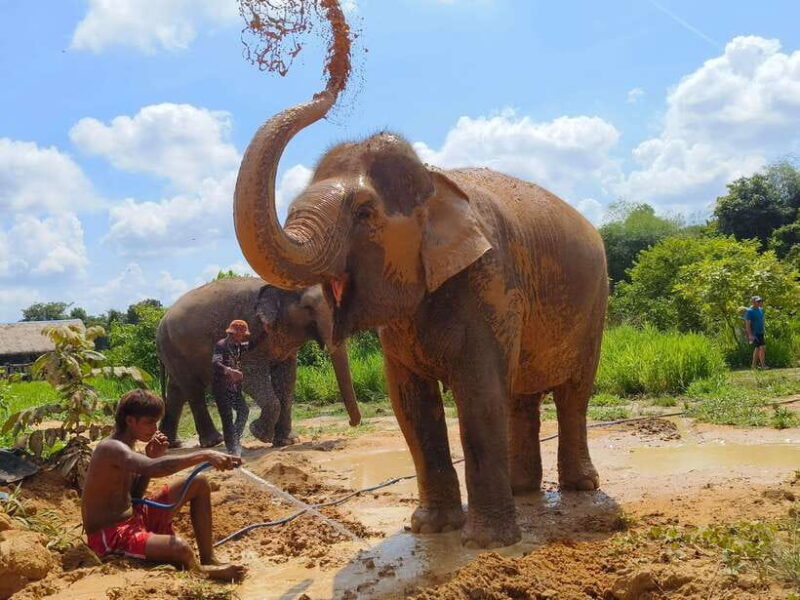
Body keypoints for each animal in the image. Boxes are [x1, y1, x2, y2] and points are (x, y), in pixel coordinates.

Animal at [157, 276, 361, 448]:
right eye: (308, 307)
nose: (351, 423)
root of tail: (161, 320)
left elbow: (287, 378)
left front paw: (287, 441)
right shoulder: (251, 328)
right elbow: (250, 375)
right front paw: (259, 434)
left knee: (177, 390)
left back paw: (170, 443)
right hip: (176, 348)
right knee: (193, 389)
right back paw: (214, 442)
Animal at [232, 91, 608, 549]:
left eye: (364, 213)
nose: (330, 88)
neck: (434, 181)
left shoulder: (491, 278)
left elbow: (480, 394)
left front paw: (487, 544)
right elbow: (410, 404)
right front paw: (431, 528)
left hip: (595, 306)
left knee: (574, 393)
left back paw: (580, 488)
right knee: (522, 396)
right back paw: (523, 491)